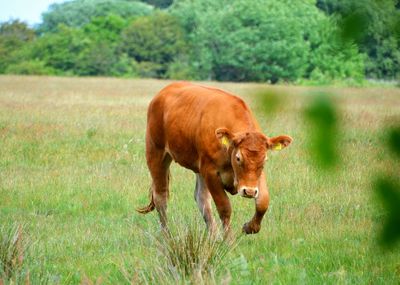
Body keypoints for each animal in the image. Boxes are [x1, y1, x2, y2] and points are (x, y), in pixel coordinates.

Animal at [137, 81, 290, 233]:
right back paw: (167, 235)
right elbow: (224, 208)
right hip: (155, 153)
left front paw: (249, 227)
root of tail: (165, 90)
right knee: (161, 197)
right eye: (238, 158)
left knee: (201, 198)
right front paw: (228, 238)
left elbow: (263, 201)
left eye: (264, 160)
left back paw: (213, 234)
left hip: (198, 167)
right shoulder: (211, 172)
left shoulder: (255, 176)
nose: (250, 191)